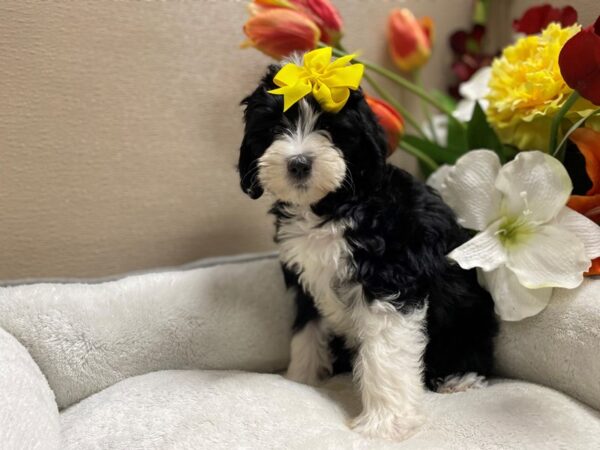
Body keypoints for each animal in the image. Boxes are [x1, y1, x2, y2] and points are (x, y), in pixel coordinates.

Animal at [238, 59, 496, 440]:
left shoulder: (390, 276)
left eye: (331, 128)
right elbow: (306, 332)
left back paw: (458, 378)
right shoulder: (306, 279)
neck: (332, 206)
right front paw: (302, 378)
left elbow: (383, 354)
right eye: (273, 127)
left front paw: (386, 423)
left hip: (468, 316)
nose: (298, 162)